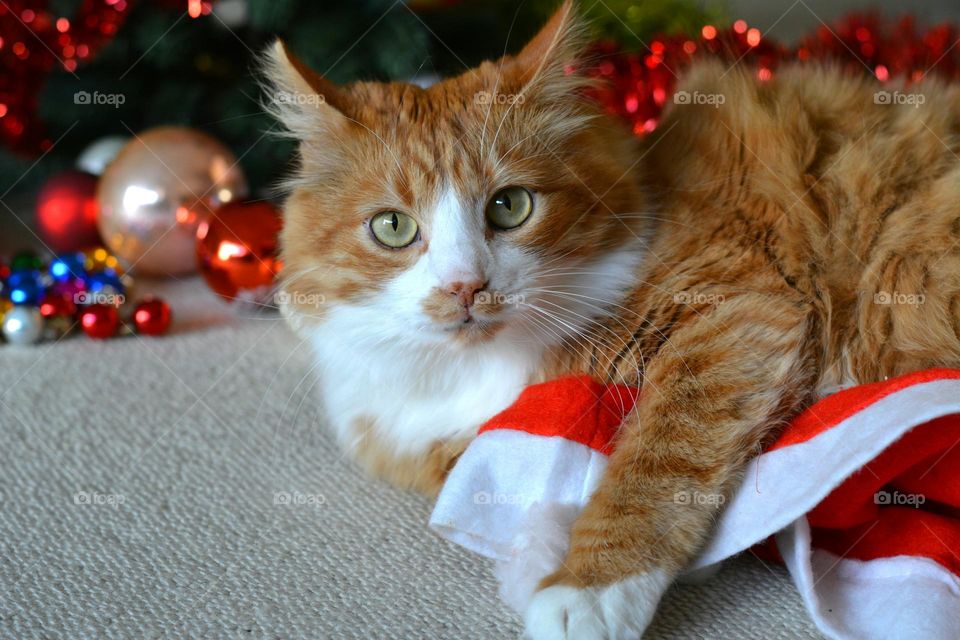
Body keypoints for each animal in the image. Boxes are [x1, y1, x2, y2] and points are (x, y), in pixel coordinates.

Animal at [266, 2, 960, 636]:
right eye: (393, 227)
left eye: (510, 206)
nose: (466, 287)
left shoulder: (739, 311)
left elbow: (651, 468)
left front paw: (588, 590)